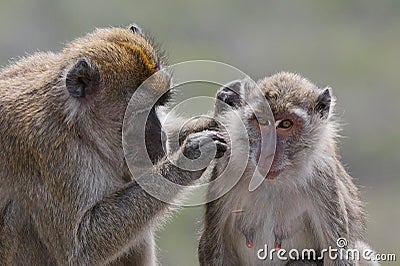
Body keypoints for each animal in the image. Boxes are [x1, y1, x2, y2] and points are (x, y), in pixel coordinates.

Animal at [0, 24, 225, 264]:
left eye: (160, 104)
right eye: (139, 114)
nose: (161, 136)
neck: (78, 127)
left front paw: (206, 122)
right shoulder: (48, 150)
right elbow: (81, 246)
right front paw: (191, 156)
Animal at [200, 72, 378, 266]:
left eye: (285, 124)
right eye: (262, 121)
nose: (267, 152)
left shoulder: (324, 180)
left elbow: (338, 255)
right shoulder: (227, 168)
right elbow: (213, 246)